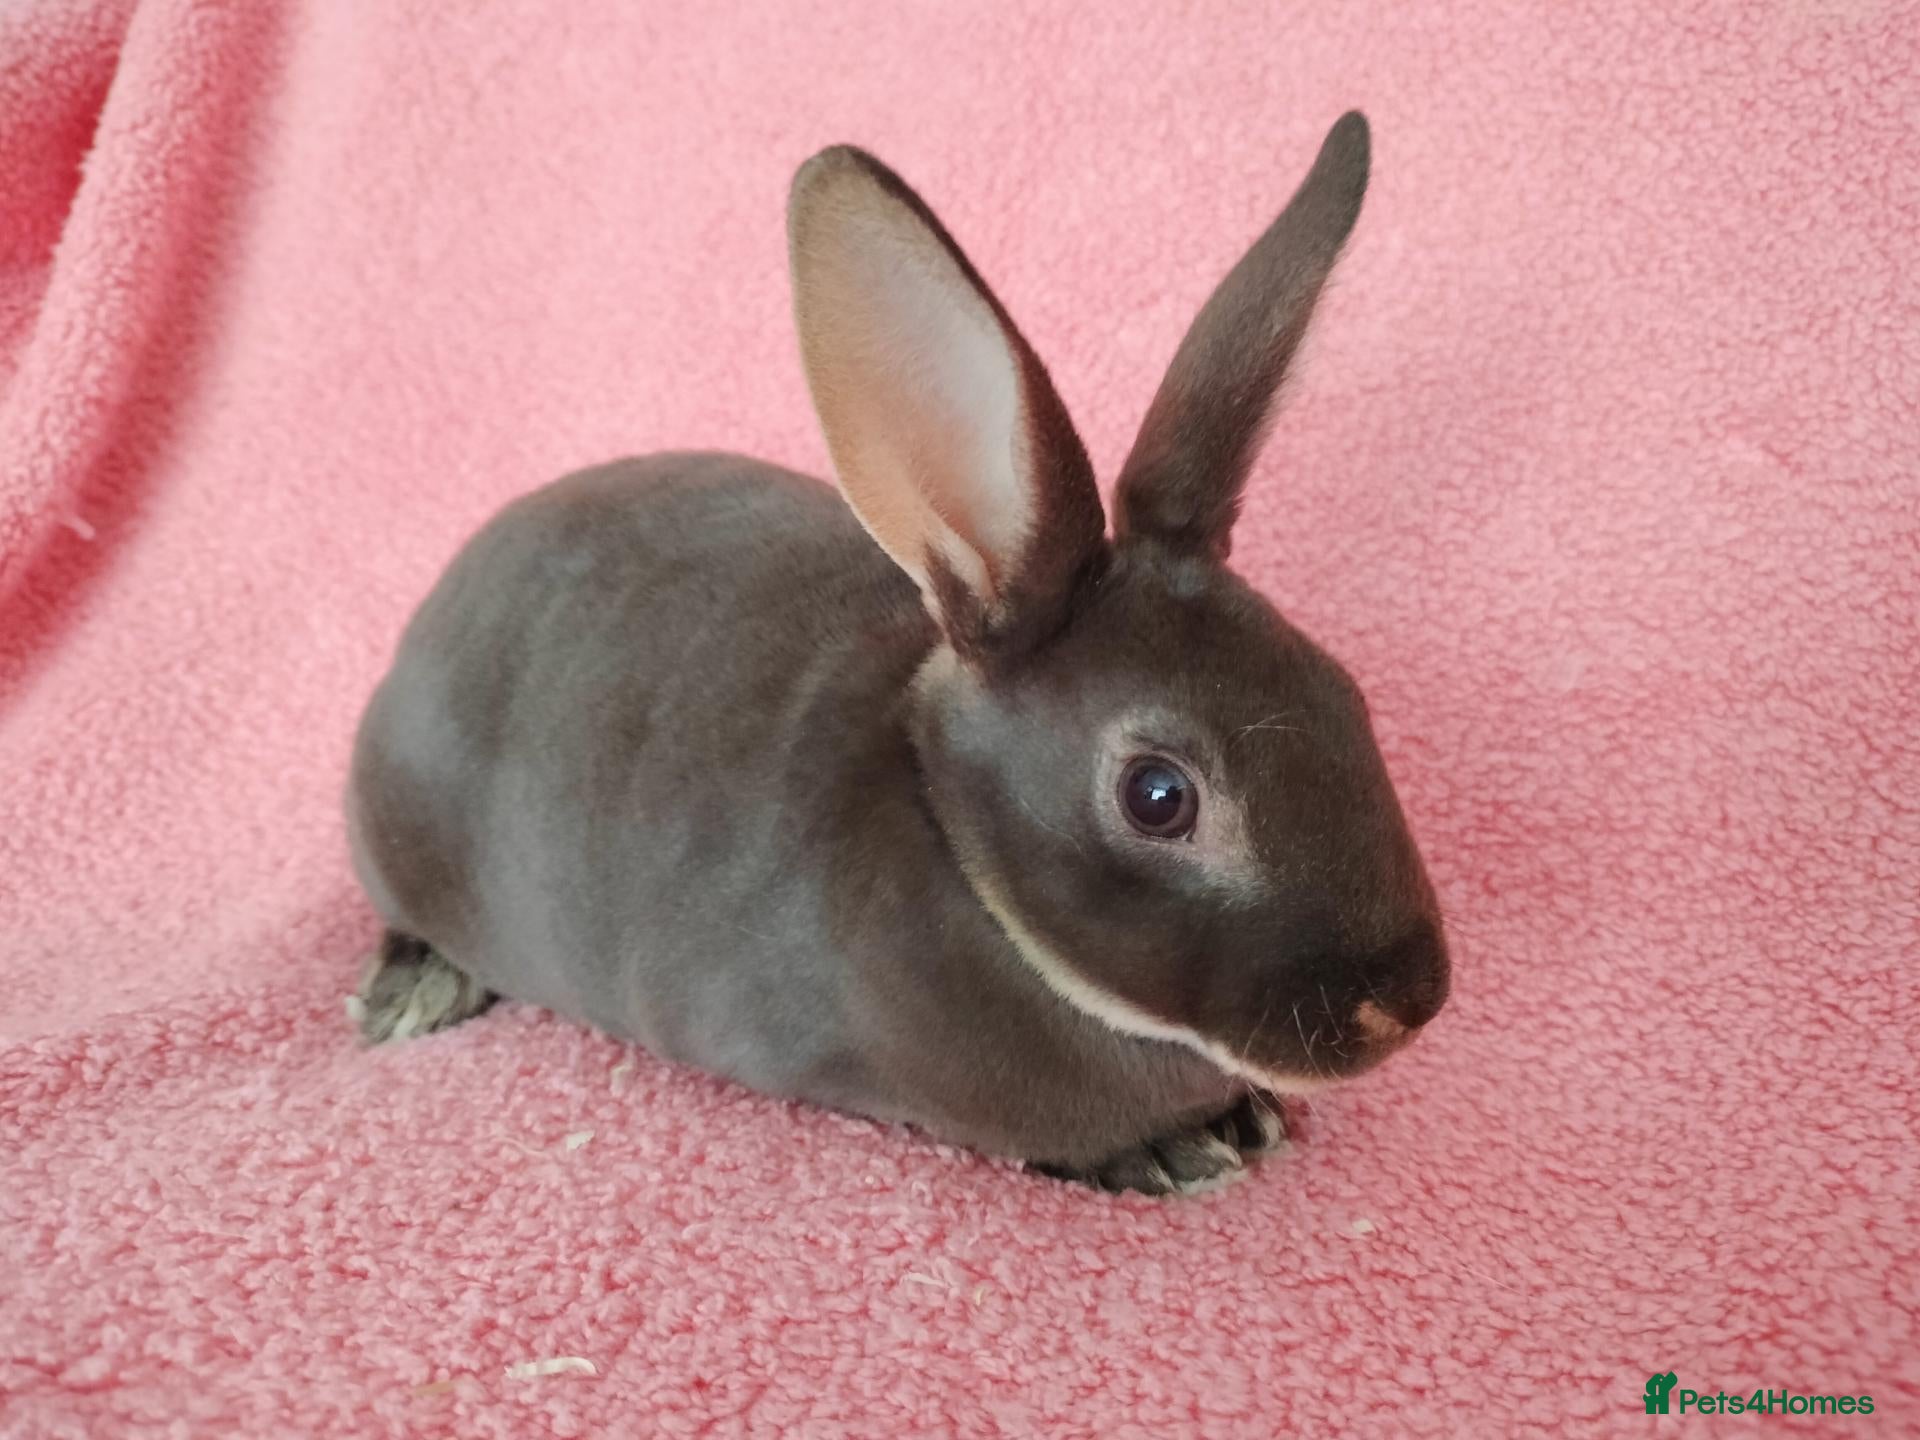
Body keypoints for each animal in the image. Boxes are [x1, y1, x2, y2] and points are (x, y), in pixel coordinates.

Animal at [345, 110, 1450, 1195]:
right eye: (1157, 796)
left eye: (1343, 692)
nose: (1409, 1001)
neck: (961, 845)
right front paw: (1180, 1151)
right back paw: (411, 995)